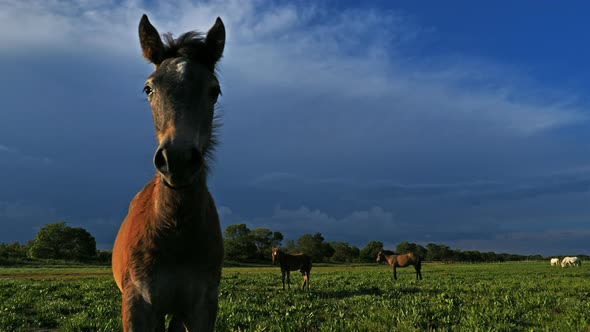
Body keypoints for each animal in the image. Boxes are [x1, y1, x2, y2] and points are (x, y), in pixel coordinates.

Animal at [112, 13, 227, 332]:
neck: (173, 226)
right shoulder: (137, 305)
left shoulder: (202, 306)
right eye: (149, 88)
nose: (177, 159)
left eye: (214, 90)